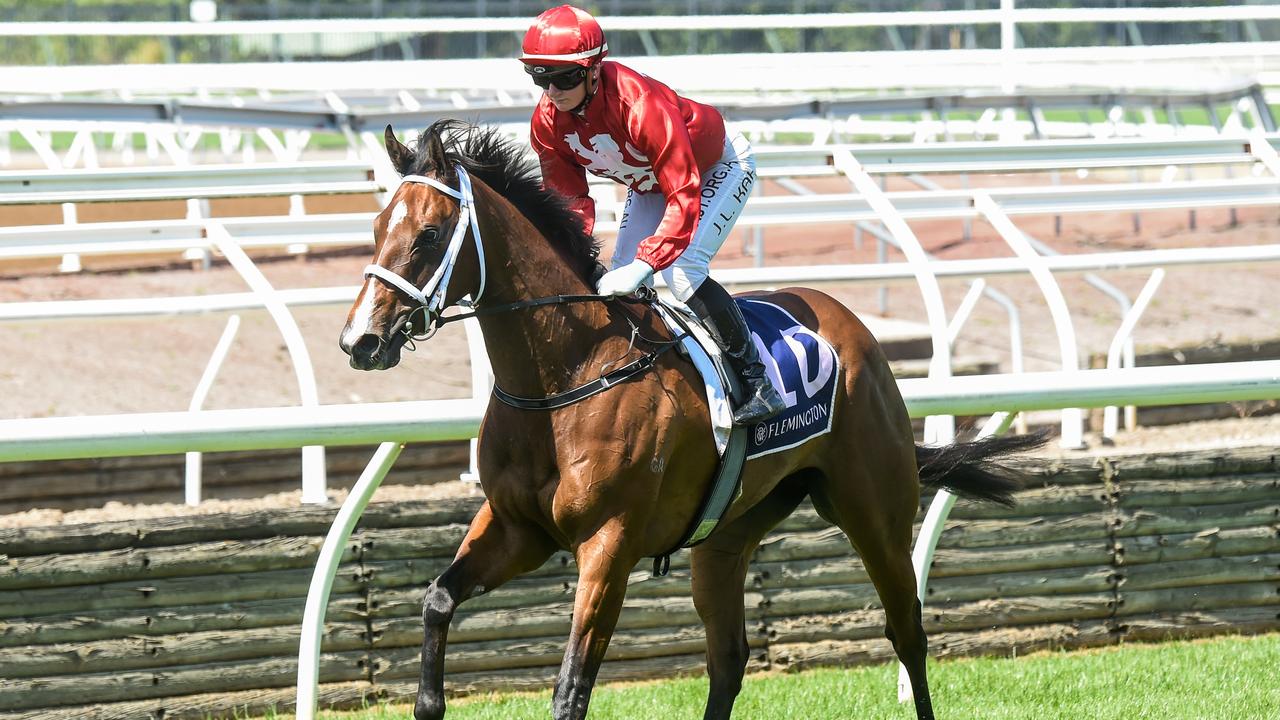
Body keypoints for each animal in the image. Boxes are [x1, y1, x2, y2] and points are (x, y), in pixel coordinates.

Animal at [343, 119, 1049, 717]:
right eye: (377, 227)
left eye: (429, 234)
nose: (361, 341)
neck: (568, 373)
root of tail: (854, 328)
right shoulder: (518, 528)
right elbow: (437, 601)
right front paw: (429, 694)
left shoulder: (609, 542)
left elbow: (571, 689)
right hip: (726, 536)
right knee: (728, 659)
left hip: (874, 510)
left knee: (907, 631)